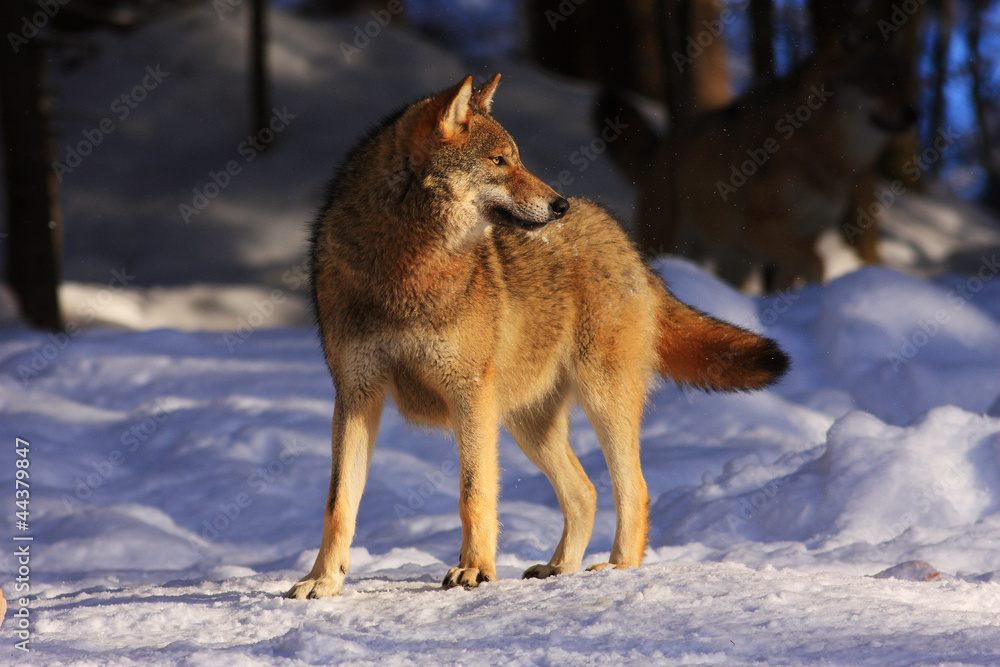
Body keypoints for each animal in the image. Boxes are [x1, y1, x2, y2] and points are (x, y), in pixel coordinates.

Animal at [286, 74, 789, 599]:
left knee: (635, 489)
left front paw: (475, 570)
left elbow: (474, 493)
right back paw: (559, 567)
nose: (559, 204)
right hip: (527, 422)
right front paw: (322, 581)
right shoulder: (356, 396)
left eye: (517, 158)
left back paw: (617, 570)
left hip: (599, 400)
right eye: (498, 161)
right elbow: (338, 503)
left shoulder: (470, 395)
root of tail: (624, 242)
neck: (408, 271)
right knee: (586, 491)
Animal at [601, 41, 916, 290]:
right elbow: (816, 262)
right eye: (876, 82)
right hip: (674, 242)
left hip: (734, 260)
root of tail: (662, 144)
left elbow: (792, 274)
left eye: (904, 83)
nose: (913, 113)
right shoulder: (756, 227)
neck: (817, 146)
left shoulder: (809, 231)